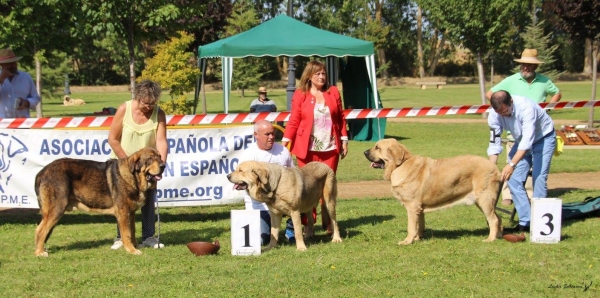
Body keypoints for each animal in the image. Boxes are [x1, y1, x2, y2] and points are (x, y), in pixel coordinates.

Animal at [35, 147, 166, 256]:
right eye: (150, 159)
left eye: (159, 156)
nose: (163, 165)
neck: (134, 177)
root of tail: (42, 172)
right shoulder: (123, 212)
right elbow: (127, 234)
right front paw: (132, 250)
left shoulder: (131, 213)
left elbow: (132, 231)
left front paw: (135, 246)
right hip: (57, 209)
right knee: (40, 231)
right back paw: (40, 252)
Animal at [366, 139, 502, 244]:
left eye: (377, 147)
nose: (364, 152)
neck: (401, 164)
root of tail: (496, 169)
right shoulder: (419, 208)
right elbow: (419, 225)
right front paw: (417, 238)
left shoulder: (412, 207)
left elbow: (411, 227)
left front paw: (407, 241)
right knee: (498, 218)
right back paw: (499, 236)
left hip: (484, 199)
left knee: (493, 220)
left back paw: (490, 239)